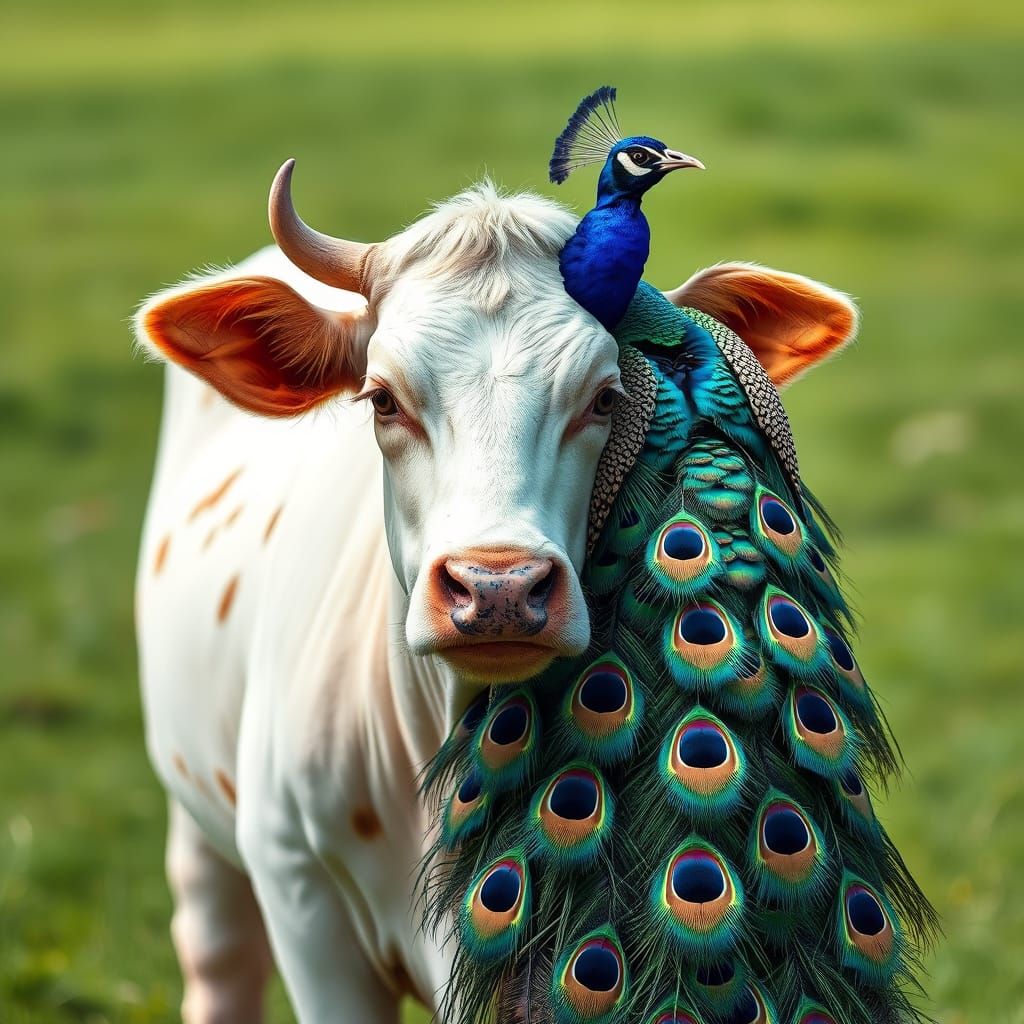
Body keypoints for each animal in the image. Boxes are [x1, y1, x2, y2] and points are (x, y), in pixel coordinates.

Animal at [135, 161, 855, 1022]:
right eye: (382, 397)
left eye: (607, 397)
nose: (498, 587)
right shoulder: (299, 893)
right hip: (198, 820)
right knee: (218, 957)